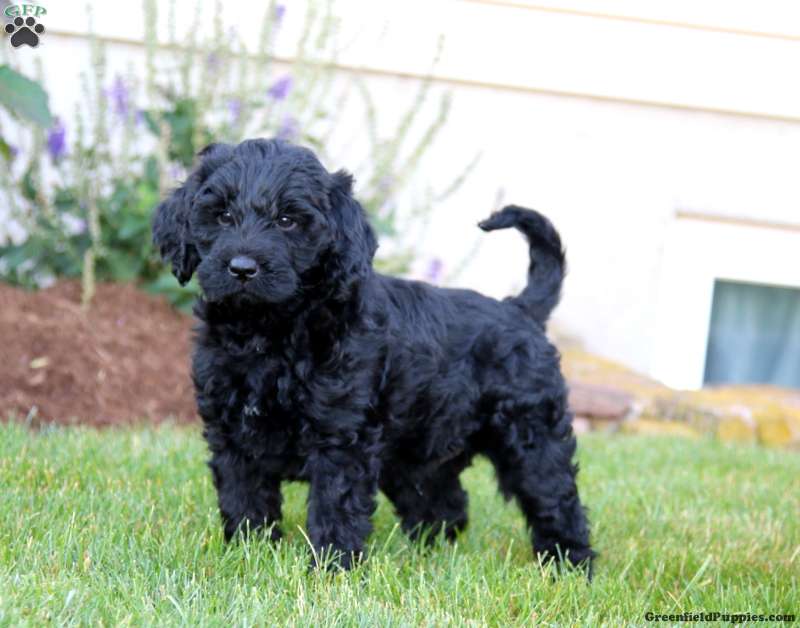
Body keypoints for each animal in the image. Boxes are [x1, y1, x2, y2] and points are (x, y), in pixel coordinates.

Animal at [155, 140, 592, 572]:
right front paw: (249, 553)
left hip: (531, 435)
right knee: (445, 502)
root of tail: (520, 308)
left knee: (556, 499)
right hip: (418, 451)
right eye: (223, 215)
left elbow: (335, 506)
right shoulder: (232, 435)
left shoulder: (341, 439)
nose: (242, 268)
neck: (268, 333)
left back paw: (569, 563)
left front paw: (331, 569)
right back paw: (429, 555)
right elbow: (244, 497)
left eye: (287, 220)